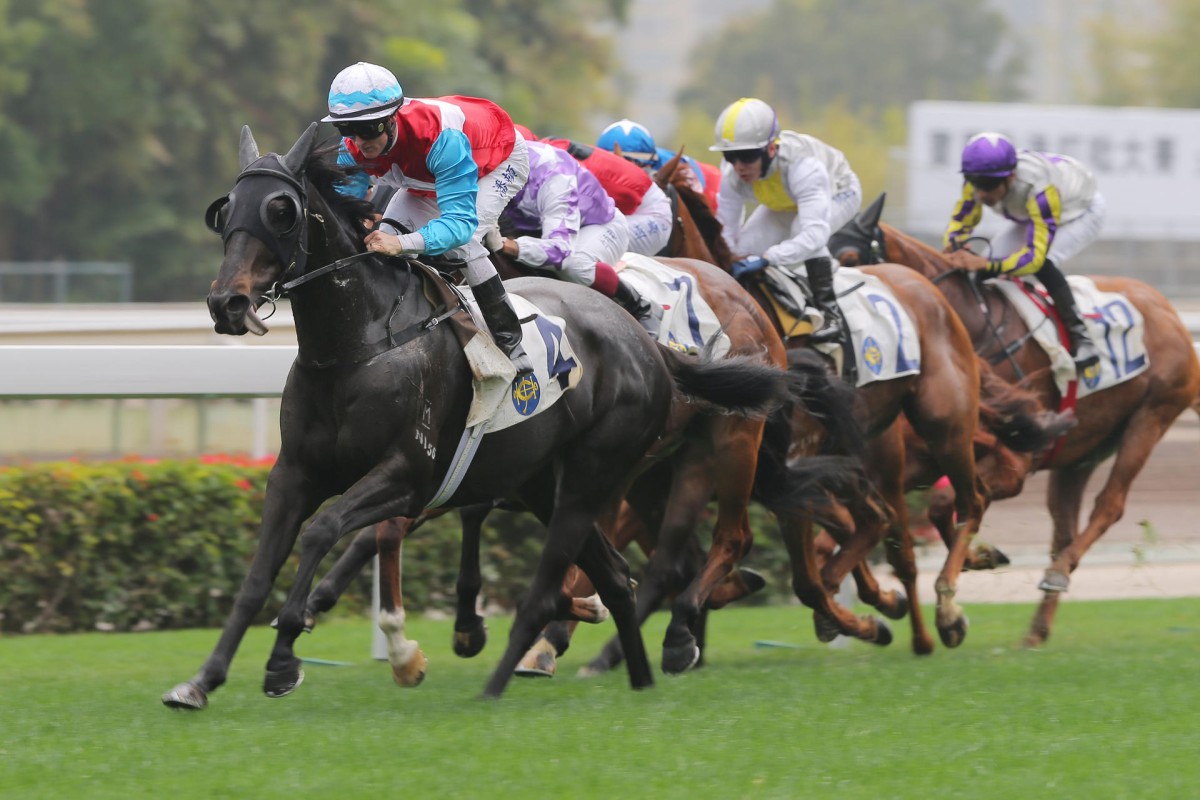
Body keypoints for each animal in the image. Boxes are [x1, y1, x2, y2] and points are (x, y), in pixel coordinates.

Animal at [162, 122, 796, 710]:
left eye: (280, 210)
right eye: (225, 211)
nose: (226, 302)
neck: (358, 346)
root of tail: (648, 341)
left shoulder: (408, 474)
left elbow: (329, 531)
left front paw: (291, 651)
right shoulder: (295, 473)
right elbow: (259, 573)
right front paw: (203, 679)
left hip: (681, 453)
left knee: (707, 544)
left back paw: (660, 637)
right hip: (555, 483)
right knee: (621, 572)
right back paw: (626, 662)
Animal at [830, 196, 1200, 647]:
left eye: (850, 258)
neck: (968, 328)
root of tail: (1170, 312)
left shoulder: (1013, 462)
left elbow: (947, 503)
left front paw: (955, 598)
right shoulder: (925, 457)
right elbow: (929, 511)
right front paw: (975, 562)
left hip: (1150, 417)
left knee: (1109, 505)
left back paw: (1056, 575)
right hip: (1079, 455)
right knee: (1063, 529)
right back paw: (1038, 627)